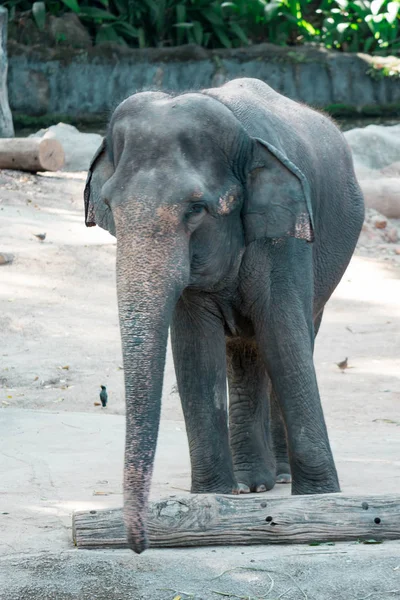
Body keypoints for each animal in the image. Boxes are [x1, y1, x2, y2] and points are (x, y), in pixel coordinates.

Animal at [84, 78, 366, 552]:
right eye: (110, 206)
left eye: (196, 209)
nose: (138, 545)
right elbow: (197, 353)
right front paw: (210, 500)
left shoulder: (285, 239)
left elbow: (284, 339)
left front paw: (323, 501)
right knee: (245, 352)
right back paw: (252, 484)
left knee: (292, 339)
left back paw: (279, 479)